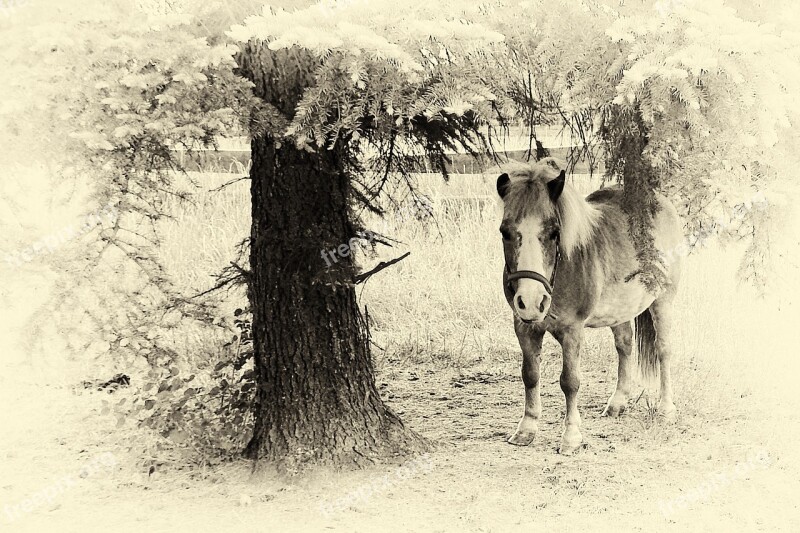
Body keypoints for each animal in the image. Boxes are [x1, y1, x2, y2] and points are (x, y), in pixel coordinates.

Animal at [496, 157, 684, 454]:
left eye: (554, 233)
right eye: (505, 232)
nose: (532, 302)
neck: (560, 271)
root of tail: (659, 202)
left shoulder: (572, 331)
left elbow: (570, 381)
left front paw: (571, 436)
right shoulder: (524, 327)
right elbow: (530, 375)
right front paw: (526, 429)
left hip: (662, 301)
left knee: (663, 351)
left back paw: (666, 409)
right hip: (621, 309)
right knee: (625, 346)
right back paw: (617, 403)